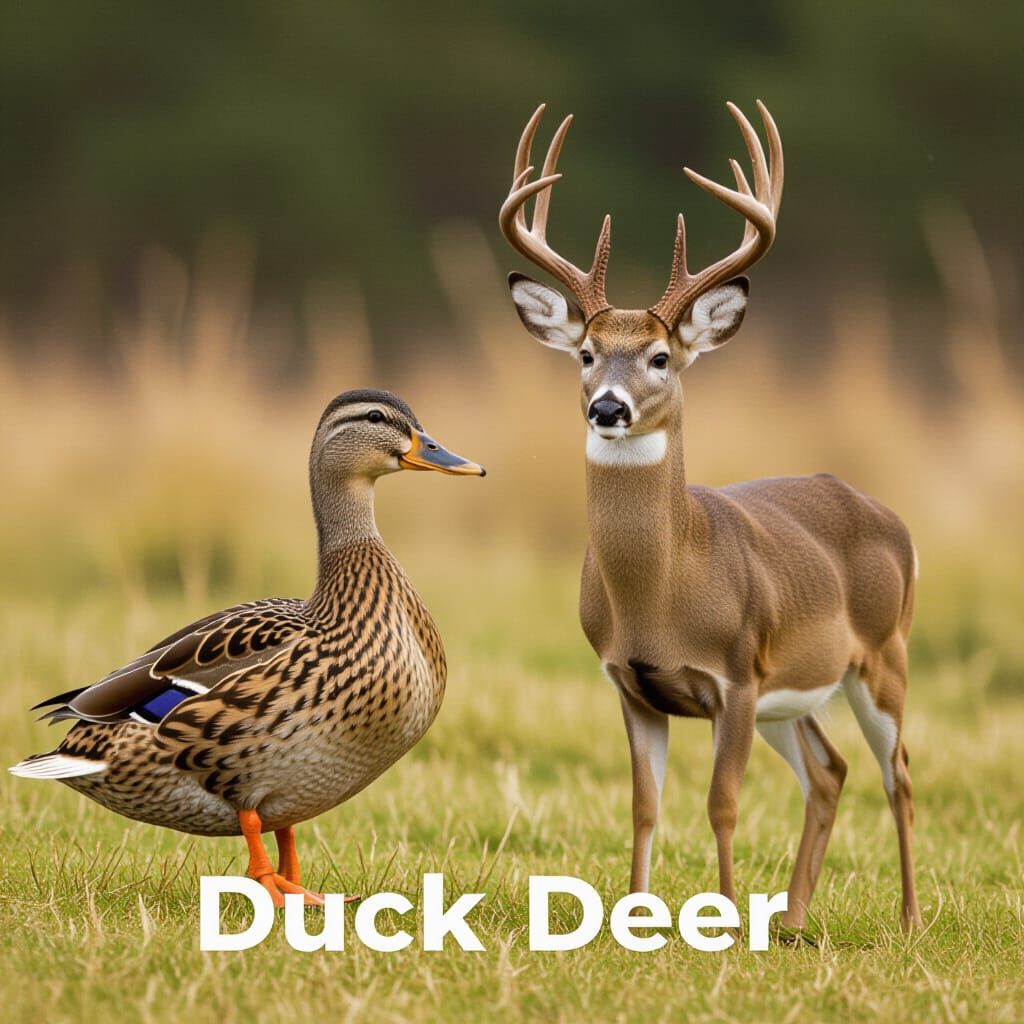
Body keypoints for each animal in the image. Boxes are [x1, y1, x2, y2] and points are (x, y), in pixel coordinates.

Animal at [498, 101, 922, 932]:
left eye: (661, 357)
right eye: (587, 353)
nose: (608, 408)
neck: (662, 595)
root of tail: (890, 519)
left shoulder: (735, 676)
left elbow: (721, 805)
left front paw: (722, 919)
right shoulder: (629, 682)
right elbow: (644, 807)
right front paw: (634, 918)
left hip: (882, 654)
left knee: (899, 775)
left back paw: (910, 919)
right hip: (795, 693)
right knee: (831, 771)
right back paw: (792, 922)